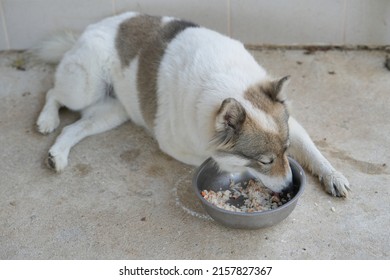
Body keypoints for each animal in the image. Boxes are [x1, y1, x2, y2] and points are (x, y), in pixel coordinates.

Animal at [34, 12, 350, 197]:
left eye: (285, 151)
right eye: (264, 161)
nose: (288, 188)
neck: (226, 83)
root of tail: (89, 30)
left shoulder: (292, 125)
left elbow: (313, 151)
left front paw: (332, 174)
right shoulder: (179, 146)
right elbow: (219, 160)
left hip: (113, 112)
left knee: (73, 128)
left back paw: (57, 154)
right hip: (83, 88)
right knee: (53, 92)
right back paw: (47, 119)